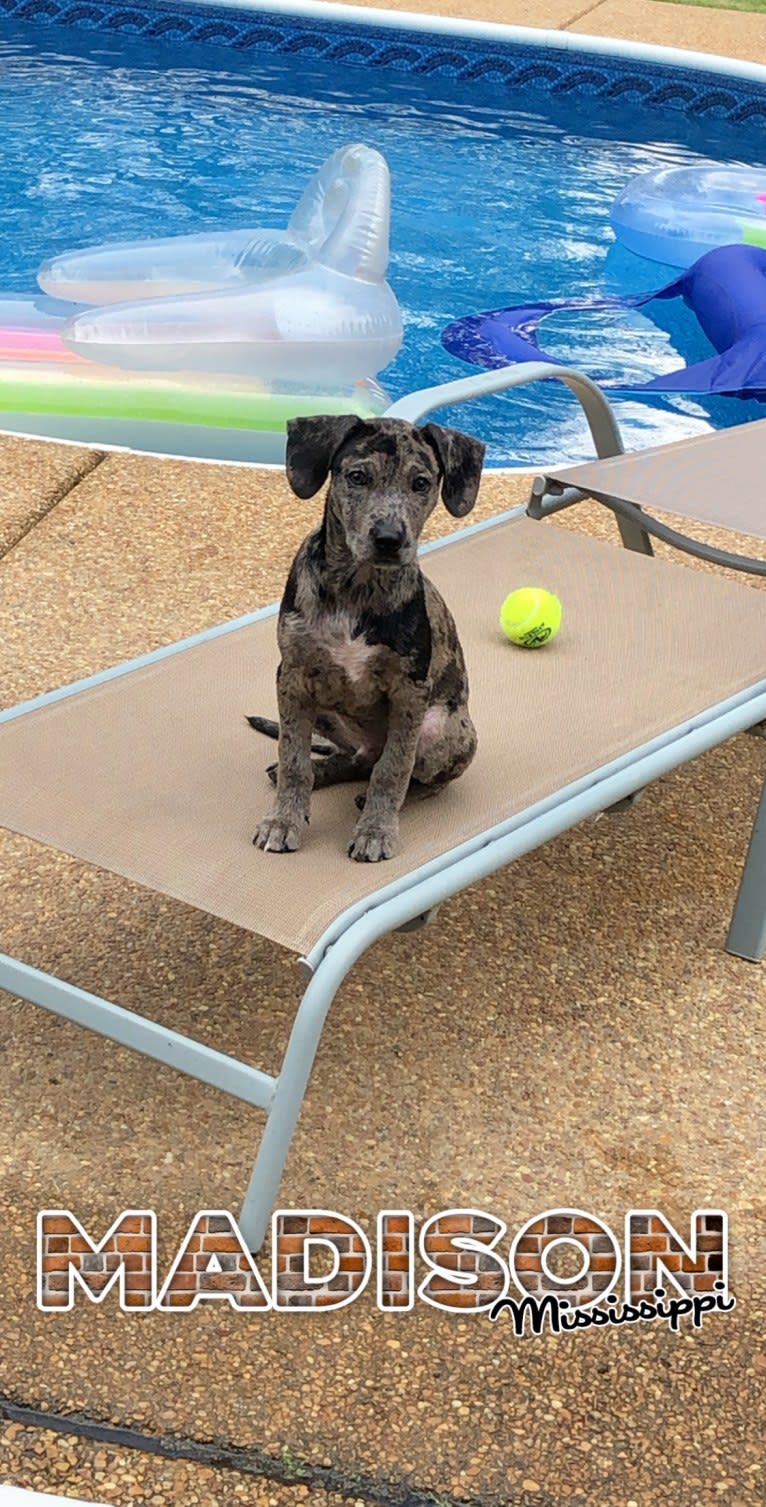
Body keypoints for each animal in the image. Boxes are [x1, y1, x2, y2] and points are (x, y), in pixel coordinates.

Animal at [251, 412, 485, 868]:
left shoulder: (410, 692)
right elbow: (293, 759)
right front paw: (283, 821)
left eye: (421, 483)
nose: (390, 540)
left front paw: (375, 831)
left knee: (410, 775)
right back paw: (324, 773)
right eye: (357, 477)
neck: (356, 590)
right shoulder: (292, 678)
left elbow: (393, 770)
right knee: (353, 759)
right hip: (321, 710)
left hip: (445, 731)